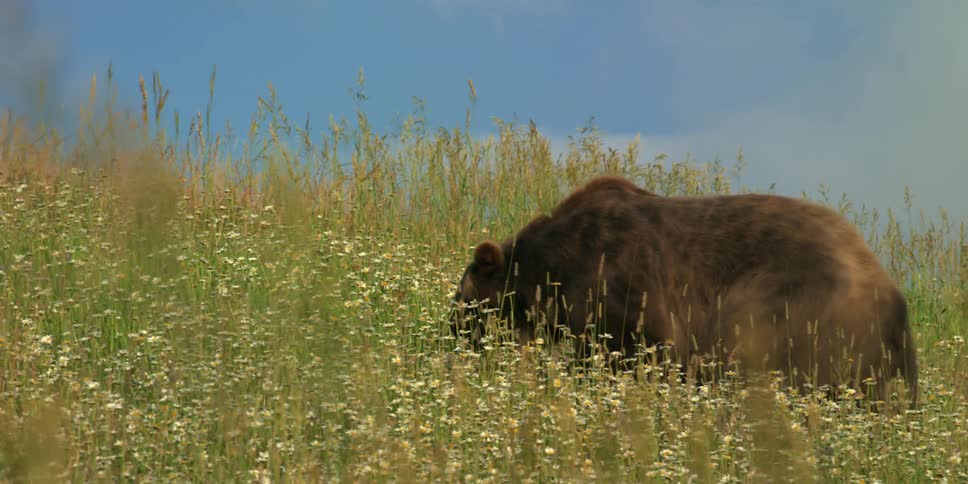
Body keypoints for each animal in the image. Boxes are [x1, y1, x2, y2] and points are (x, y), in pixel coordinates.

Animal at [451, 175, 919, 407]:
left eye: (464, 303)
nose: (450, 338)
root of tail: (893, 295)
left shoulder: (626, 288)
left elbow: (640, 348)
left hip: (794, 310)